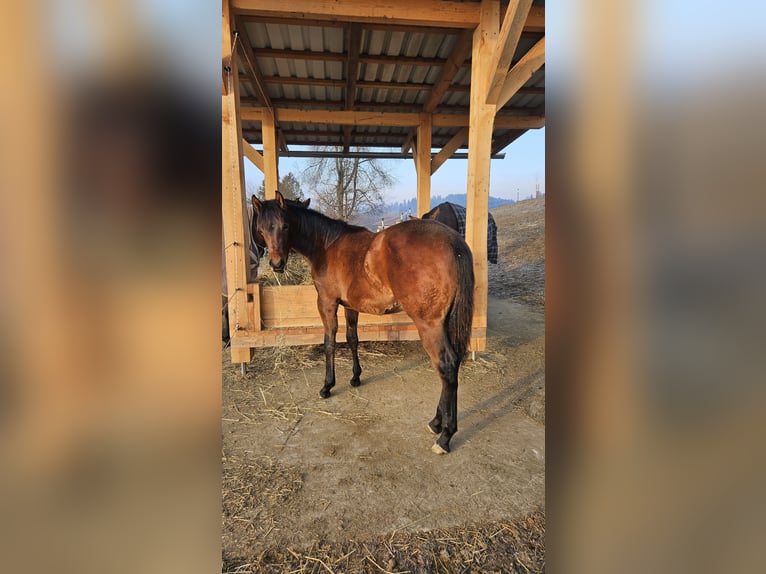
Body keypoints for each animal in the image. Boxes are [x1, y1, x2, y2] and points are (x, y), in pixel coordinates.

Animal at [252, 192, 474, 454]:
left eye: (285, 226)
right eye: (262, 228)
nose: (277, 264)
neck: (327, 245)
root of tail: (452, 242)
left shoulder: (327, 303)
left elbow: (330, 342)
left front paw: (327, 386)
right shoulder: (350, 307)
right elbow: (352, 339)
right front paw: (355, 377)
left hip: (430, 325)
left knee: (446, 366)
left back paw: (445, 436)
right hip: (444, 322)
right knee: (451, 366)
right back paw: (436, 422)